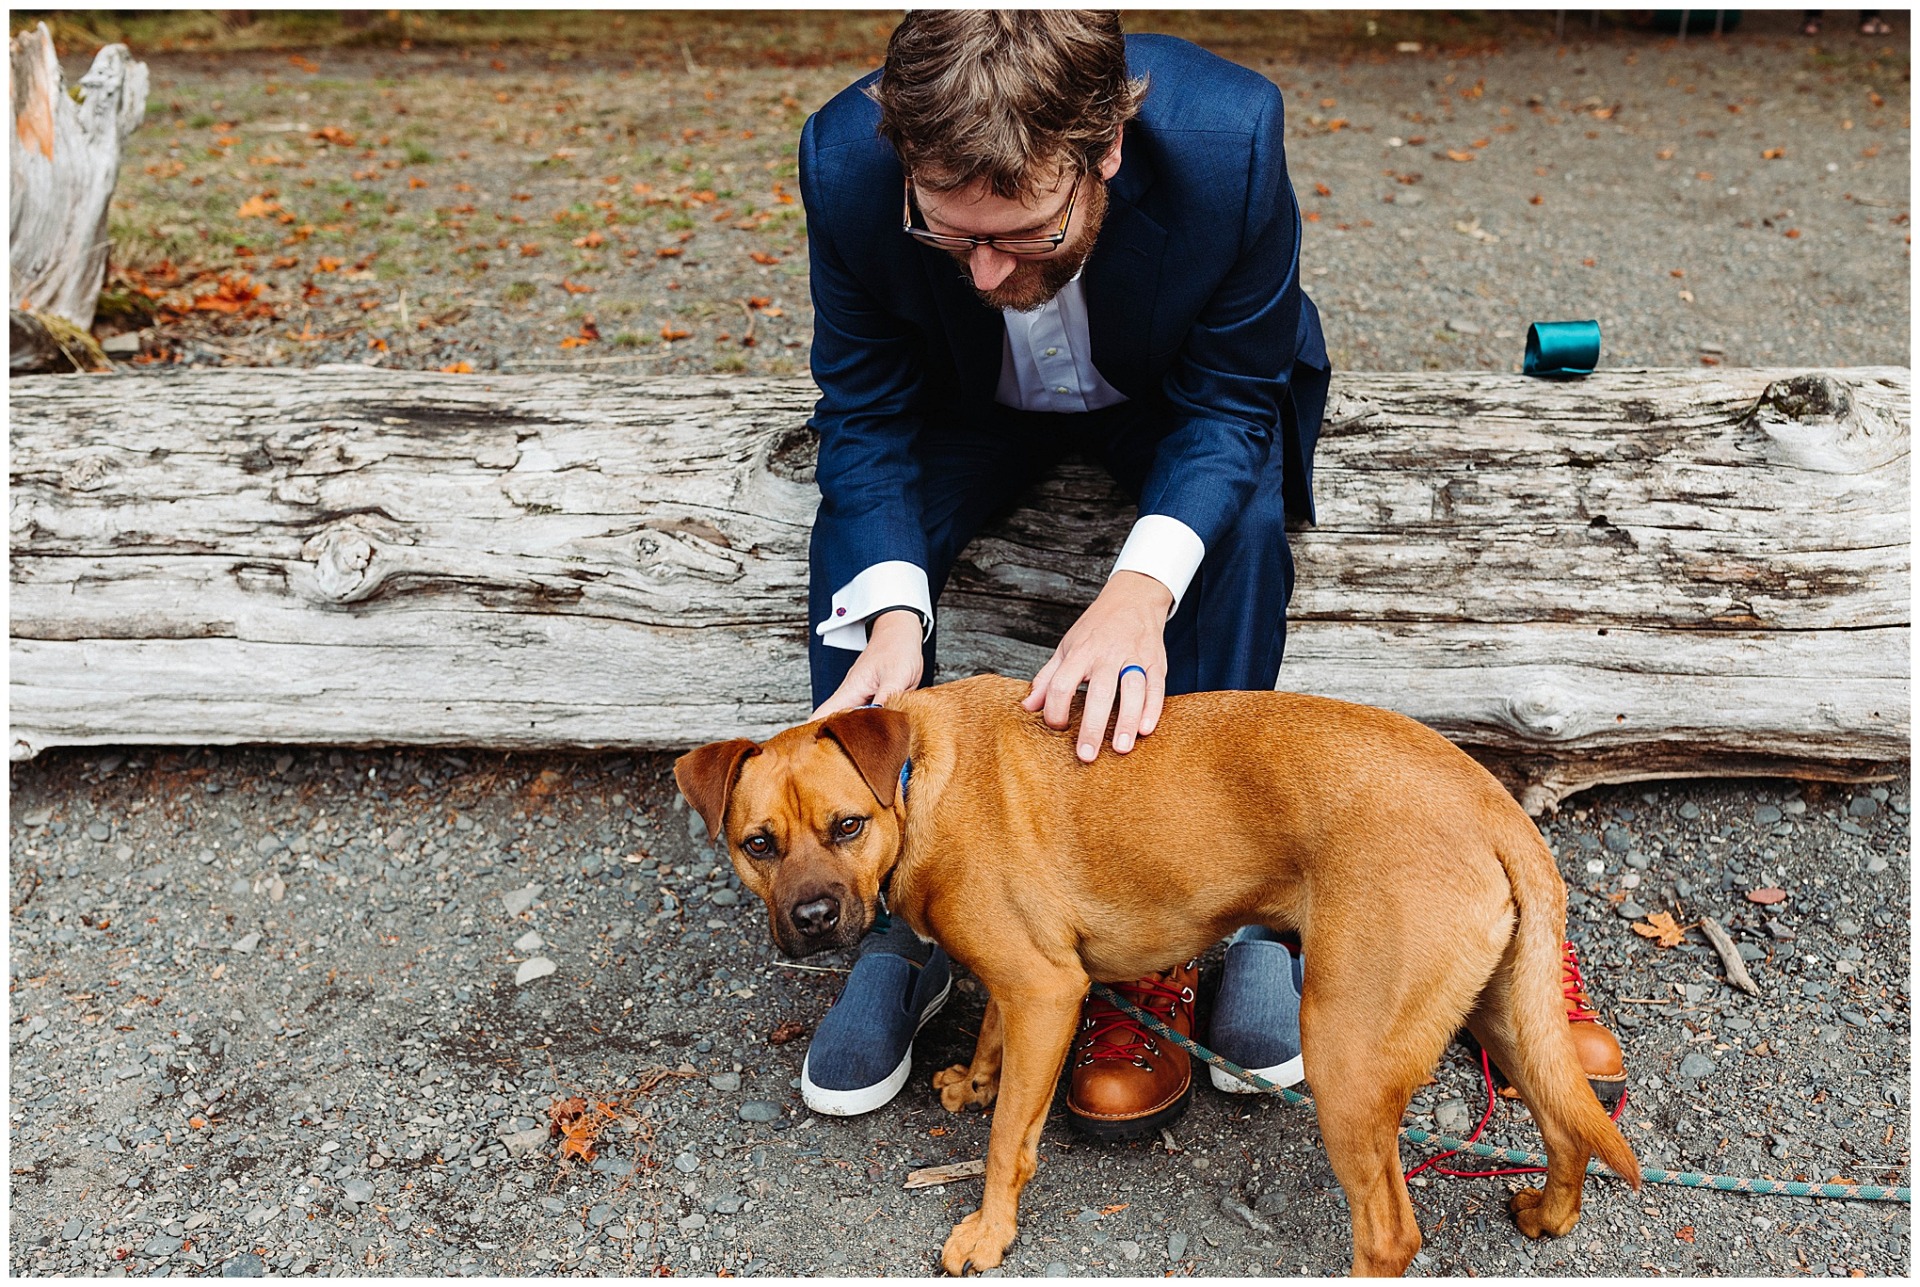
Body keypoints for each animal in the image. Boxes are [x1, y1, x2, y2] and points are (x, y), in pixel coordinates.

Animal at [675, 676, 1635, 1283]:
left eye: (846, 825)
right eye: (758, 843)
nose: (812, 917)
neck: (916, 780)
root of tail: (1495, 804)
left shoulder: (1046, 989)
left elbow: (1009, 1140)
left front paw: (989, 1230)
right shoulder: (1027, 980)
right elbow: (992, 1044)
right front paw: (975, 1082)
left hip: (1348, 1058)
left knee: (1392, 1233)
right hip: (1507, 1018)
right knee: (1568, 1128)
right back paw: (1549, 1215)